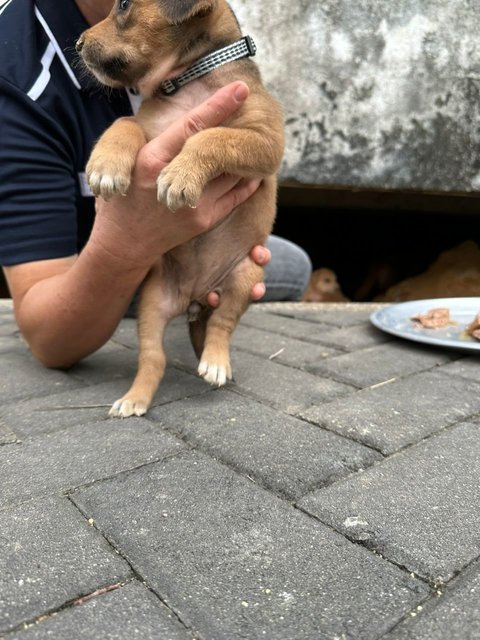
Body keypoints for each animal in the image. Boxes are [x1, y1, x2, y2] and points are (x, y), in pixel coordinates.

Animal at [76, 0, 284, 416]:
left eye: (124, 5)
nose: (77, 43)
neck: (191, 78)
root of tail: (195, 297)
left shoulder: (266, 139)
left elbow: (212, 135)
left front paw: (180, 176)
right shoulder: (149, 128)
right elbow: (124, 123)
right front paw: (107, 166)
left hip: (246, 275)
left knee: (221, 324)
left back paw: (216, 362)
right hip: (153, 302)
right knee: (153, 358)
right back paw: (134, 399)